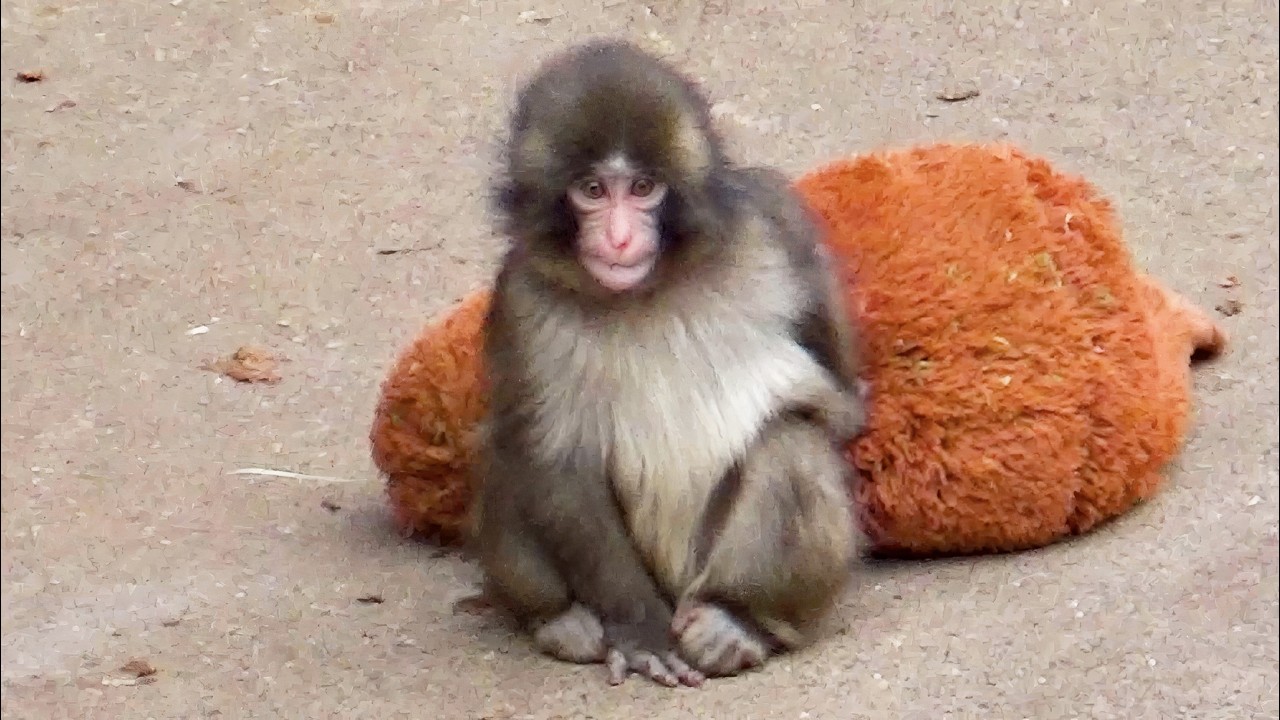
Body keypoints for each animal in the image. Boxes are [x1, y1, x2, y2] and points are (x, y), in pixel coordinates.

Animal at [469, 39, 866, 688]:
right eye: (592, 190)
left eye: (643, 187)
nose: (620, 239)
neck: (649, 291)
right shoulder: (521, 302)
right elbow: (557, 461)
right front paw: (641, 632)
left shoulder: (780, 224)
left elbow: (840, 404)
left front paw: (806, 393)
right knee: (507, 456)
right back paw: (558, 618)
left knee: (790, 445)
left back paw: (738, 618)